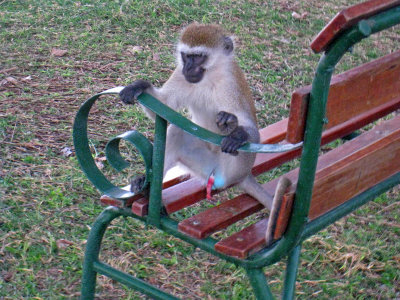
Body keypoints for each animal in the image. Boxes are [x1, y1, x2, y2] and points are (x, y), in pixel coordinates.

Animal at [119, 24, 282, 211]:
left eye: (197, 57)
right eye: (186, 56)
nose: (188, 68)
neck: (210, 75)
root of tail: (244, 175)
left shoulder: (231, 82)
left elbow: (251, 126)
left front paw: (237, 132)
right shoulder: (180, 75)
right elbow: (163, 107)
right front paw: (138, 86)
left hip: (232, 172)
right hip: (205, 167)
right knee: (176, 131)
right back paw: (146, 187)